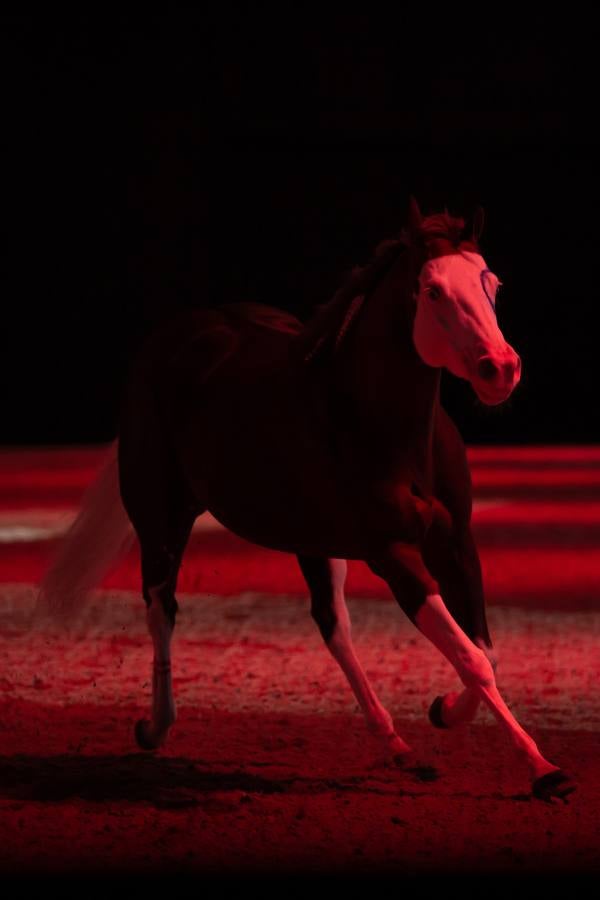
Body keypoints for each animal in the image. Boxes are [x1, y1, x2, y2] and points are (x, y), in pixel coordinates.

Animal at [38, 199, 576, 800]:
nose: (499, 369)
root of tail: (173, 339)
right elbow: (471, 657)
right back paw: (154, 728)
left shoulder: (456, 543)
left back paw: (399, 747)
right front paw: (545, 771)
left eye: (491, 283)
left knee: (332, 623)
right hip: (161, 522)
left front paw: (442, 712)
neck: (378, 423)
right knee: (162, 610)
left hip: (313, 542)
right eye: (433, 289)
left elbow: (485, 653)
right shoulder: (396, 557)